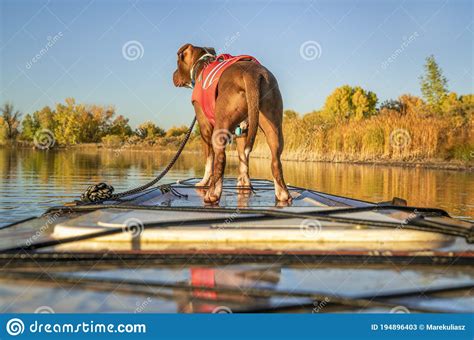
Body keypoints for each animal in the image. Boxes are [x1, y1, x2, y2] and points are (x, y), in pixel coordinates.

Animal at [173, 44, 288, 205]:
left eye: (178, 62)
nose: (173, 75)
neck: (201, 64)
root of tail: (251, 74)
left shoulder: (205, 129)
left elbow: (209, 160)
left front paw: (203, 182)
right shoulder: (242, 132)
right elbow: (243, 159)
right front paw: (244, 183)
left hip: (220, 127)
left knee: (220, 159)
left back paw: (212, 193)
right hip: (273, 125)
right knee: (275, 160)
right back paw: (282, 194)